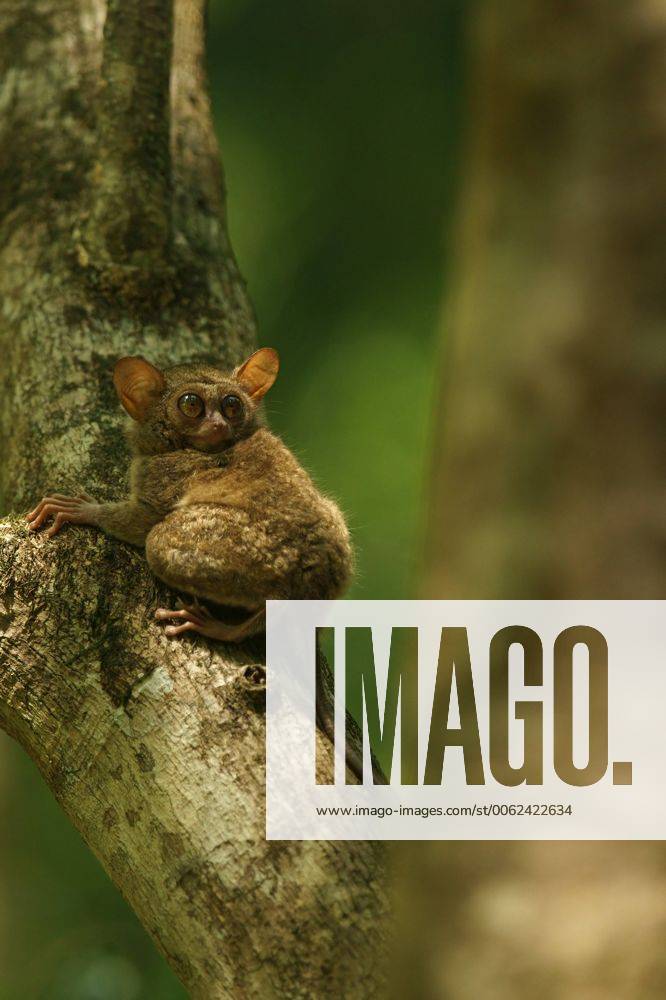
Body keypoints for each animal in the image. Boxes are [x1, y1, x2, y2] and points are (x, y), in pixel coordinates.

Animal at [26, 348, 354, 643]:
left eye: (232, 405)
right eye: (191, 404)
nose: (219, 424)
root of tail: (318, 576)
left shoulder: (161, 478)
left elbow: (142, 520)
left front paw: (82, 509)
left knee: (158, 542)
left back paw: (215, 629)